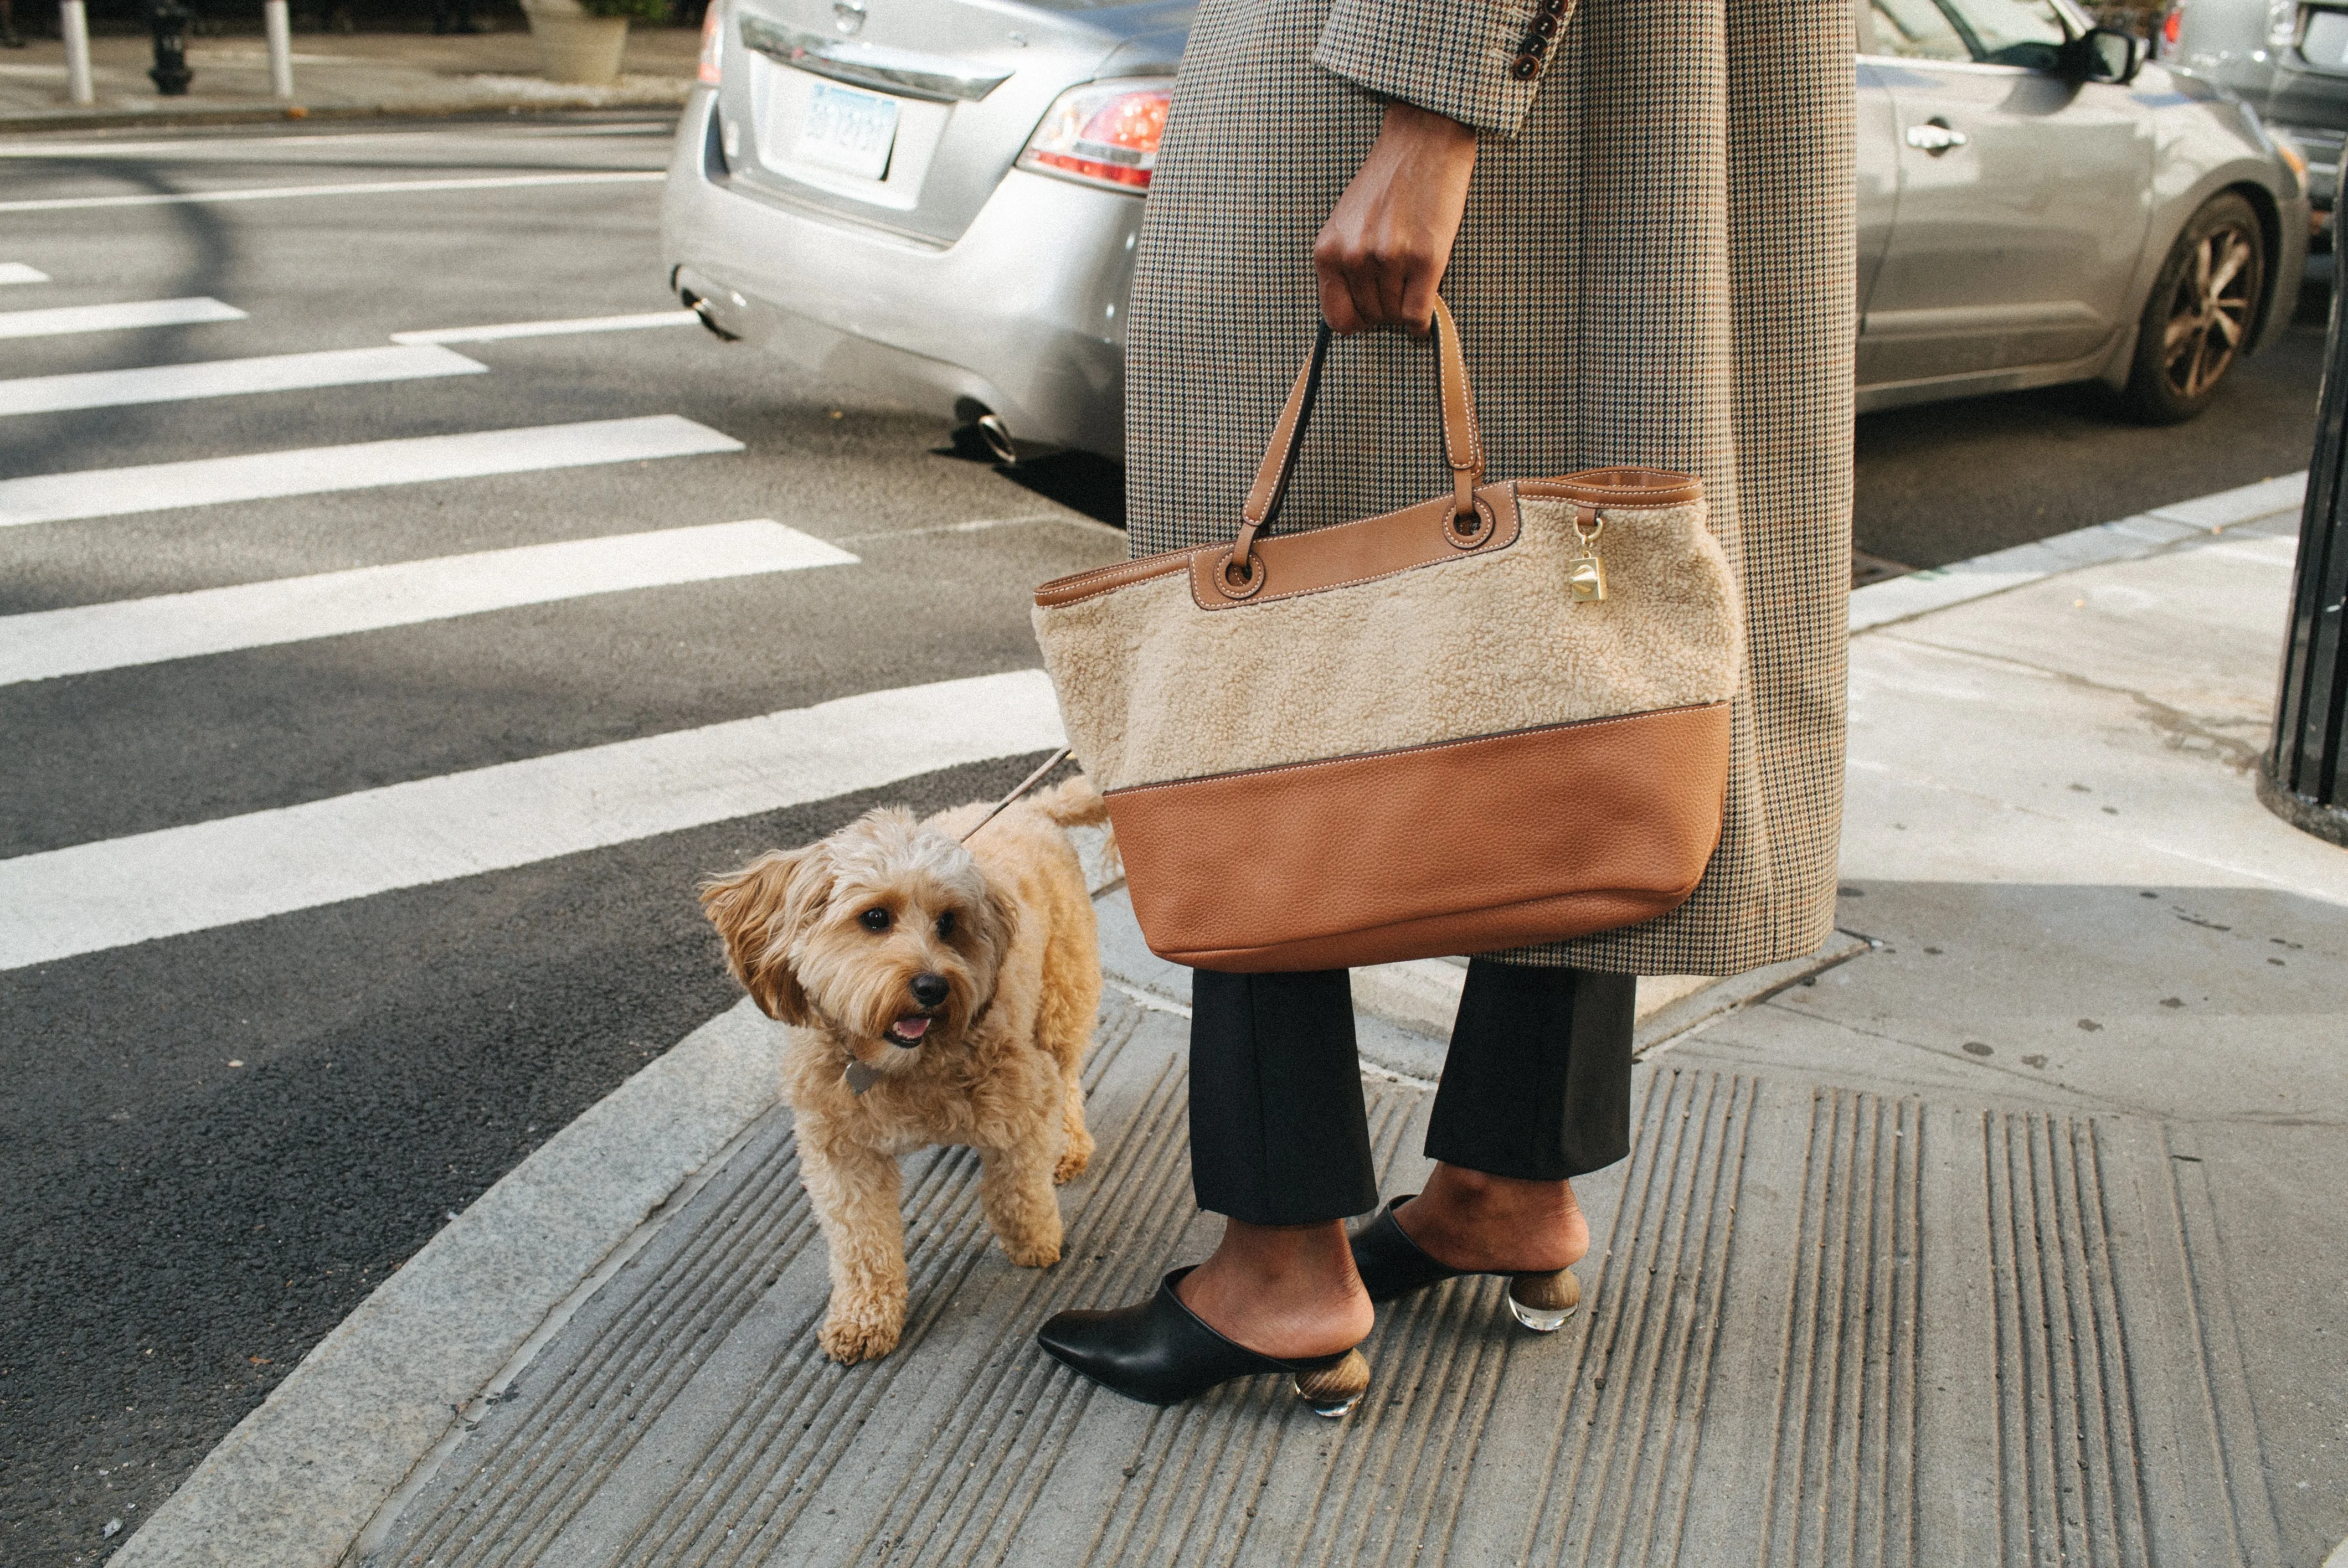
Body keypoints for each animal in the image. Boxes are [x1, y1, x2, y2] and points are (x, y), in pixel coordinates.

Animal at [695, 779, 1108, 1361]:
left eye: (949, 923)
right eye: (875, 918)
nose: (933, 987)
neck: (898, 1065)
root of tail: (1035, 807)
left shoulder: (1023, 1100)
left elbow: (1016, 1188)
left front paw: (1036, 1241)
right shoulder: (841, 1154)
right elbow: (863, 1241)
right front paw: (865, 1318)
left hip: (1063, 997)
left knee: (1068, 1077)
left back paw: (1068, 1147)